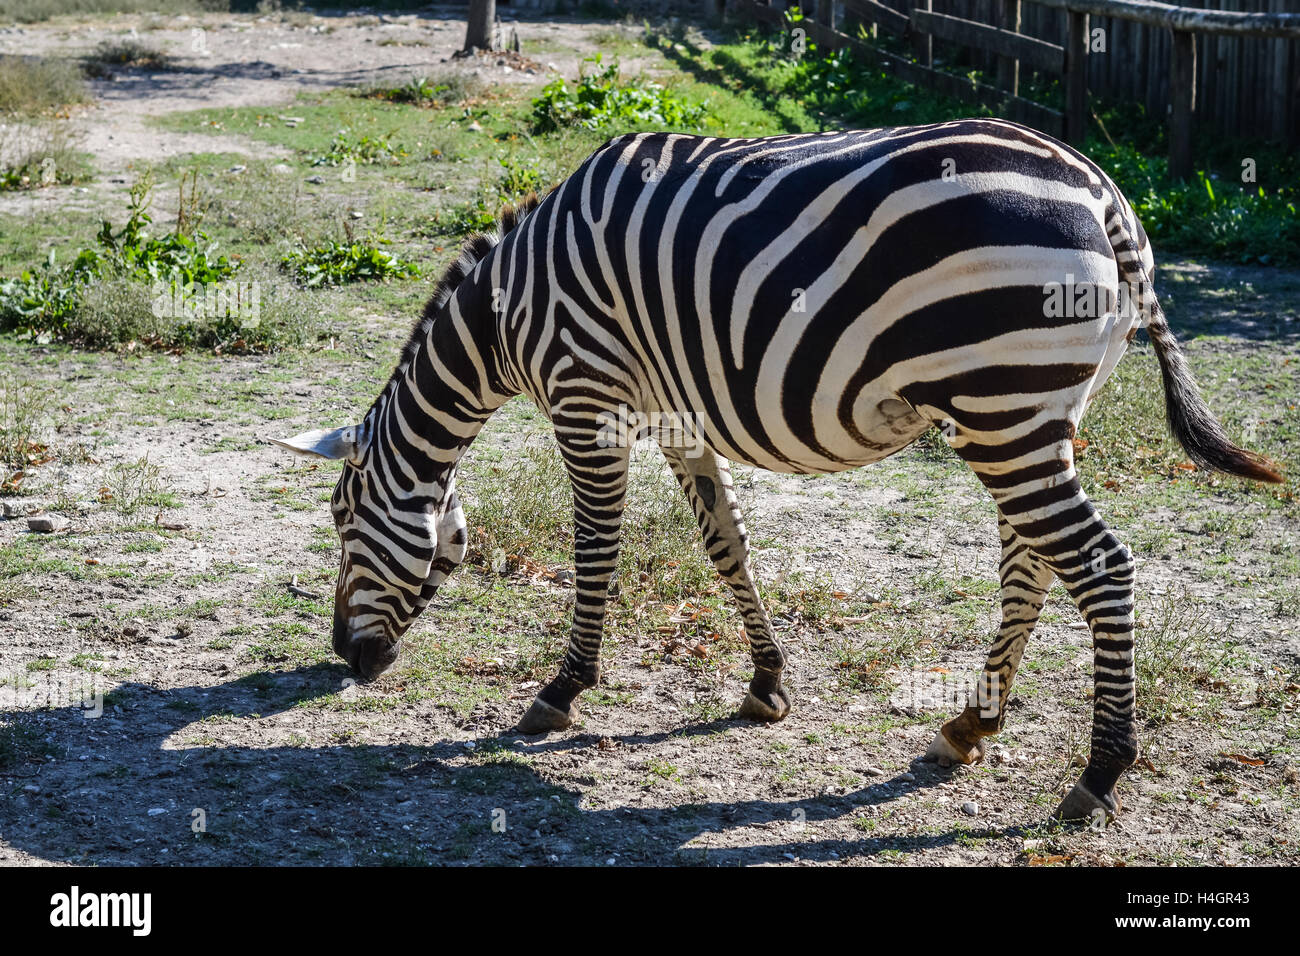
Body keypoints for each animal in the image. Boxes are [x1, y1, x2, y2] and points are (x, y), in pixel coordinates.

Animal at [274, 121, 1279, 822]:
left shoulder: (585, 394)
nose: (345, 659)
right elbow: (726, 543)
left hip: (1003, 402)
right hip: (1036, 410)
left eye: (342, 521)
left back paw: (1099, 774)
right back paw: (969, 725)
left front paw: (560, 693)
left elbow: (595, 550)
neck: (506, 317)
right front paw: (766, 684)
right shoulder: (675, 414)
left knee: (1099, 566)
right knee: (1032, 559)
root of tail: (1104, 194)